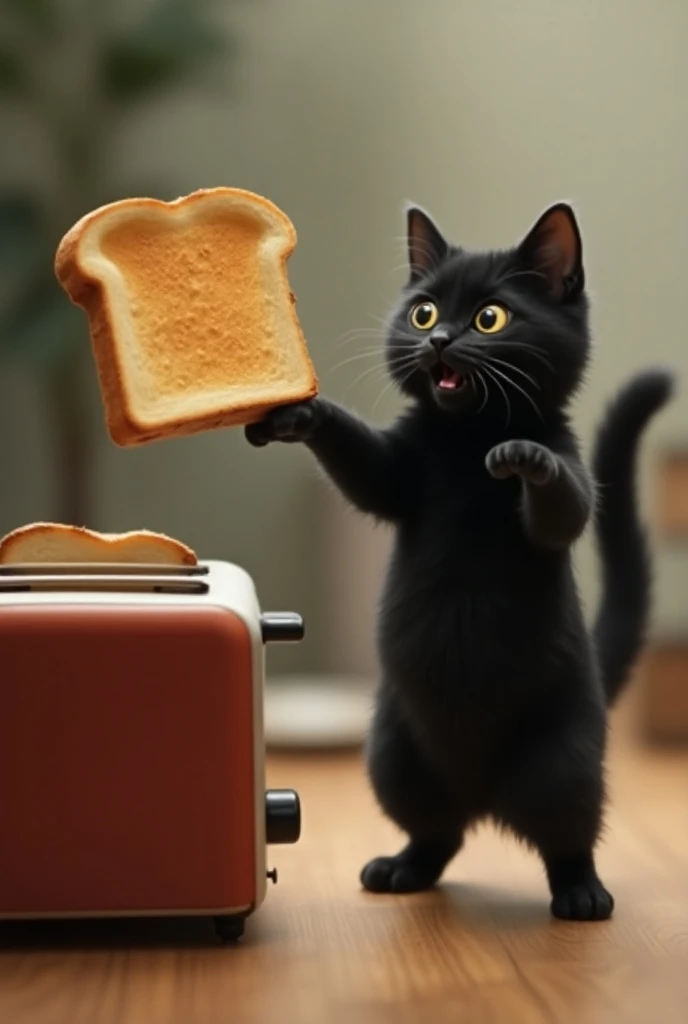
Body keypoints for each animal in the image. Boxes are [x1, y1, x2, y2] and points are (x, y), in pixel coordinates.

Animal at [244, 199, 675, 921]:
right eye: (423, 312)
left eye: (489, 317)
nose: (440, 339)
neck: (465, 437)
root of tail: (483, 797)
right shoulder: (398, 473)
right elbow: (361, 461)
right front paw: (297, 412)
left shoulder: (571, 479)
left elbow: (563, 504)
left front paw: (524, 458)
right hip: (394, 754)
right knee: (437, 833)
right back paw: (400, 868)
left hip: (564, 760)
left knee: (568, 835)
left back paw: (582, 894)